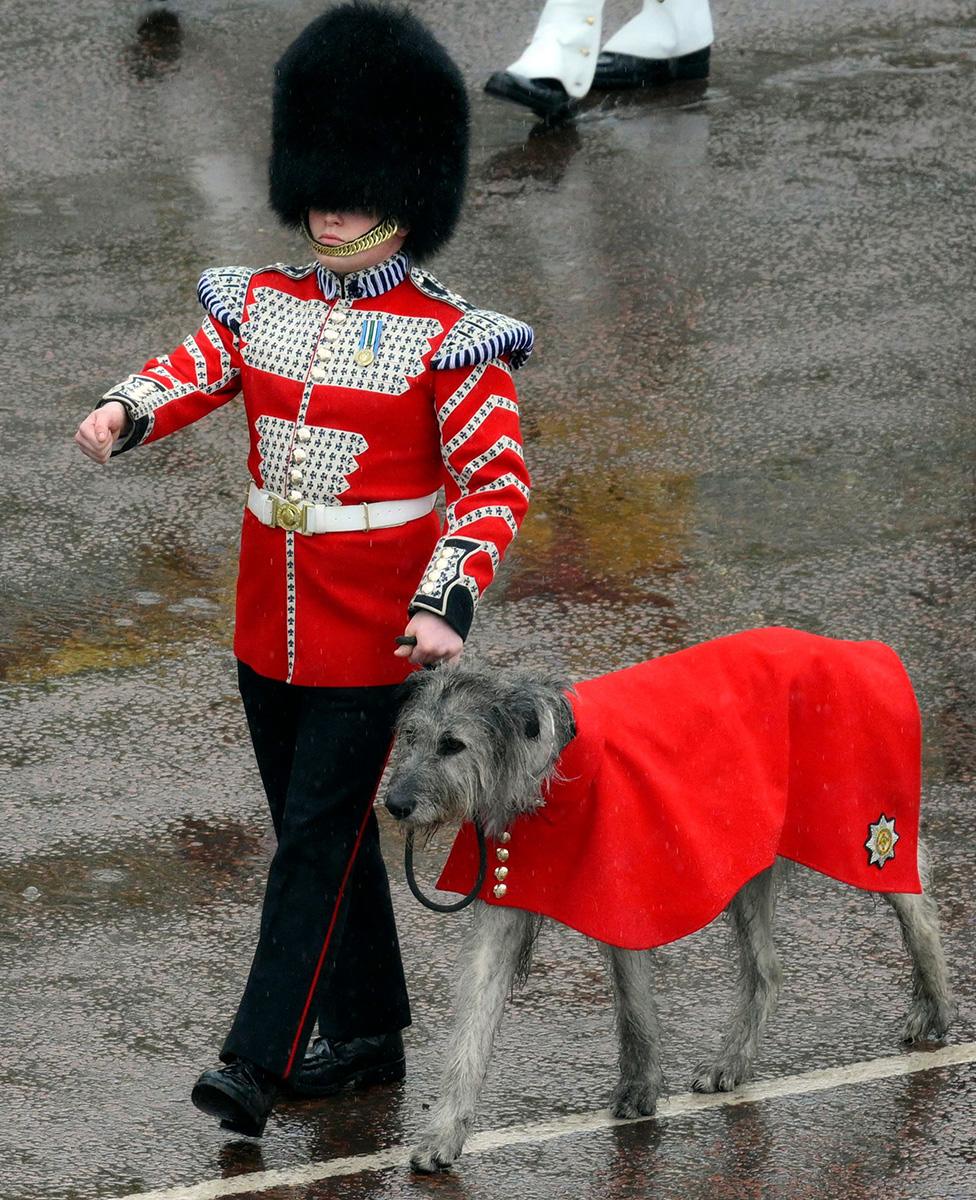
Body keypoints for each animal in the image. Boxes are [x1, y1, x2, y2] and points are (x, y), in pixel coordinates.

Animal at [386, 667, 950, 1171]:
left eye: (453, 744)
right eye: (410, 736)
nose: (393, 803)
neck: (550, 777)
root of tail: (868, 652)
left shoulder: (623, 893)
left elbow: (634, 1006)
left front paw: (639, 1090)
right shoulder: (509, 886)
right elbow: (475, 1017)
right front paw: (445, 1132)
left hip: (853, 829)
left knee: (914, 885)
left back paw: (935, 1004)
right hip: (745, 863)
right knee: (767, 970)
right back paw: (732, 1062)